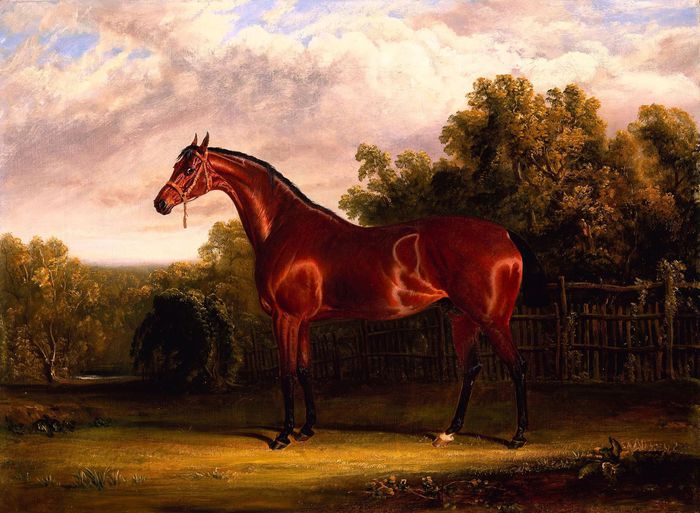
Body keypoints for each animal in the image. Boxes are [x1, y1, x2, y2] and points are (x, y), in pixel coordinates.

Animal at [154, 133, 549, 450]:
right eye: (175, 164)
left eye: (189, 168)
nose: (160, 203)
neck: (284, 228)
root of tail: (504, 234)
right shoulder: (304, 322)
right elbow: (305, 370)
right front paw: (307, 429)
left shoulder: (285, 318)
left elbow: (285, 373)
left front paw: (283, 436)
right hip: (461, 318)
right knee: (470, 369)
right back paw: (448, 432)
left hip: (492, 320)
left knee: (517, 366)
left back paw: (517, 437)